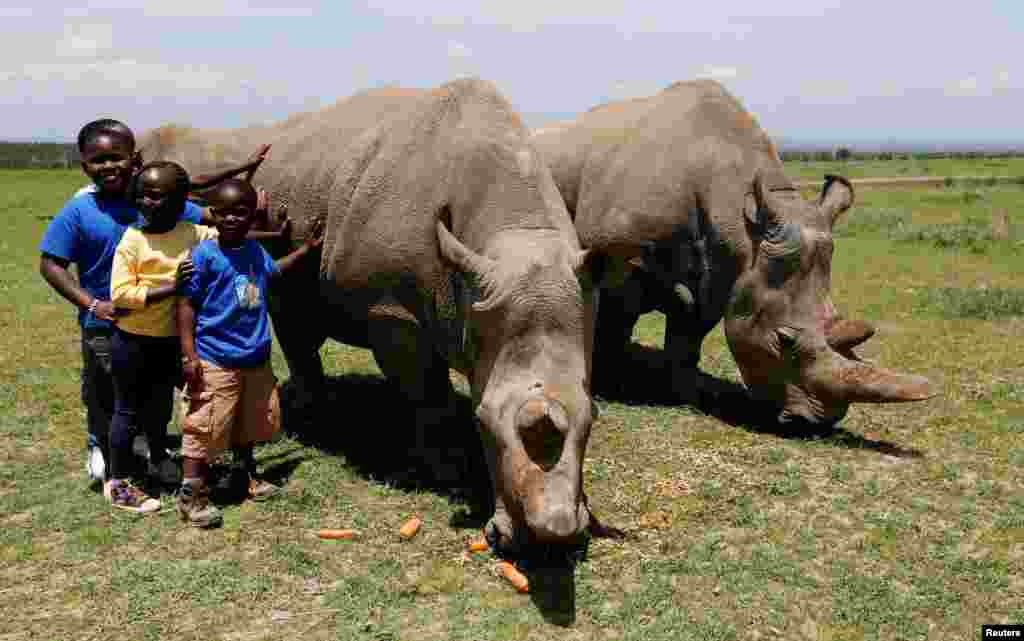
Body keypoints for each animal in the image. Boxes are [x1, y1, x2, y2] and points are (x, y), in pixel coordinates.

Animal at [138, 77, 614, 548]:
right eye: (482, 422)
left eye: (593, 419)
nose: (552, 535)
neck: (514, 228)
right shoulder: (393, 311)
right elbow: (429, 397)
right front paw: (443, 470)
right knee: (290, 317)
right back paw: (315, 415)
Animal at [532, 79, 937, 425]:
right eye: (783, 340)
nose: (818, 422)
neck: (739, 220)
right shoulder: (623, 261)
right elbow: (615, 323)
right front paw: (610, 382)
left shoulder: (722, 274)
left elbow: (688, 337)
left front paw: (686, 394)